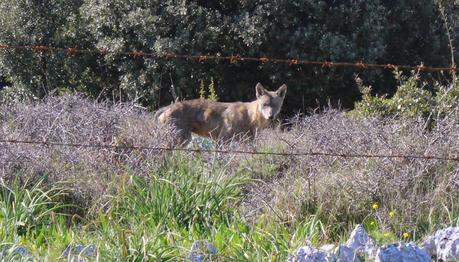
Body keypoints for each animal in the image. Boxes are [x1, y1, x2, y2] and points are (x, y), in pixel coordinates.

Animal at [155, 83, 288, 144]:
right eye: (265, 104)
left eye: (276, 106)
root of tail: (167, 107)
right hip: (182, 139)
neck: (249, 117)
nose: (270, 116)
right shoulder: (222, 141)